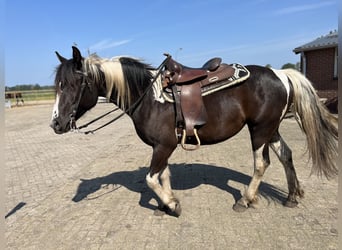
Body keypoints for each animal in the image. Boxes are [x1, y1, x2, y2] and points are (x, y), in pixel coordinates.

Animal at [50, 47, 336, 217]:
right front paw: (165, 204)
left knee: (261, 163)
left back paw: (245, 200)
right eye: (57, 85)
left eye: (73, 84)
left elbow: (151, 179)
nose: (56, 124)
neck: (148, 96)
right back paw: (292, 196)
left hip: (259, 130)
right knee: (286, 155)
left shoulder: (164, 146)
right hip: (271, 129)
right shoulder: (162, 146)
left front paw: (172, 205)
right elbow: (163, 175)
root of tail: (281, 74)